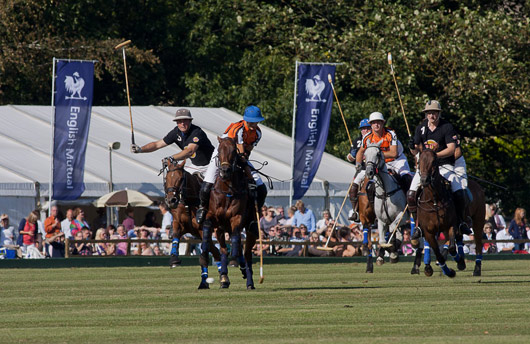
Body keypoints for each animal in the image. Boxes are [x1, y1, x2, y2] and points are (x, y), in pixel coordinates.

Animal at [197, 137, 256, 290]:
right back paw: (224, 278)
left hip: (250, 229)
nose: (224, 171)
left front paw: (235, 258)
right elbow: (207, 227)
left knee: (246, 253)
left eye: (234, 151)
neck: (227, 190)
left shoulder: (237, 218)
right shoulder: (213, 217)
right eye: (219, 150)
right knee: (223, 250)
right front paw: (204, 252)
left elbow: (235, 238)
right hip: (221, 229)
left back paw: (249, 281)